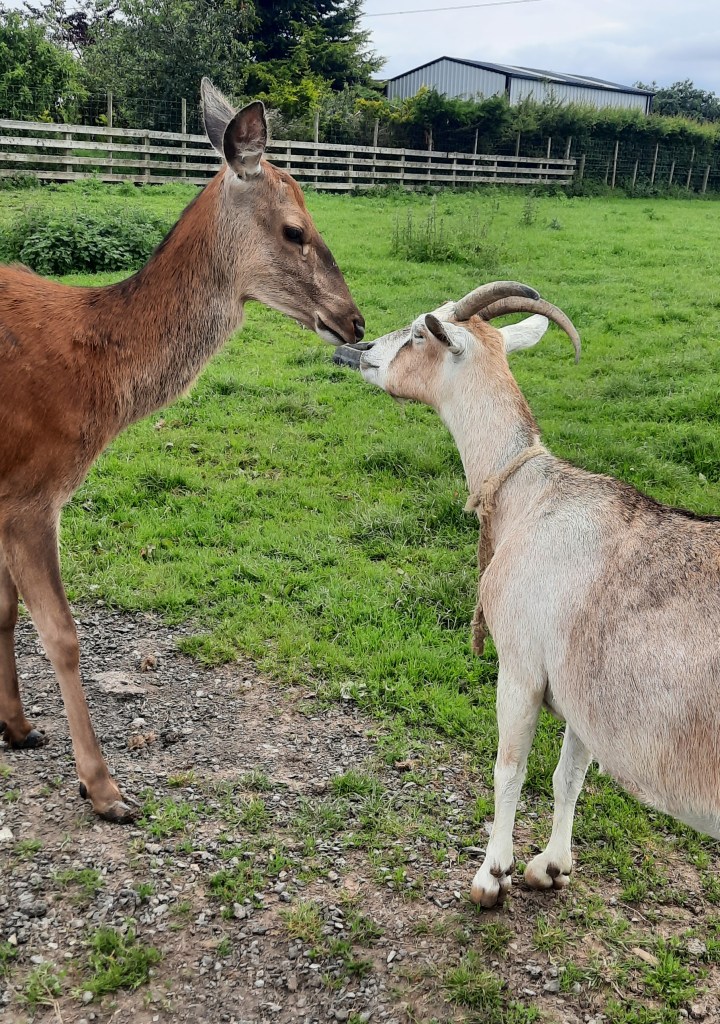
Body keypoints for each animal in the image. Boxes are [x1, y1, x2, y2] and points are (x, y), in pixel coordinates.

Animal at [0, 79, 364, 822]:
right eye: (294, 228)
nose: (355, 320)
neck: (94, 380)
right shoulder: (30, 489)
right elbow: (62, 633)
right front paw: (105, 790)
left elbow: (4, 609)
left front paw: (17, 728)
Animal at [355, 280, 720, 906]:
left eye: (419, 331)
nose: (358, 350)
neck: (531, 493)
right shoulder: (580, 691)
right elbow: (567, 775)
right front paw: (550, 866)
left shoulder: (522, 666)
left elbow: (509, 767)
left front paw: (491, 874)